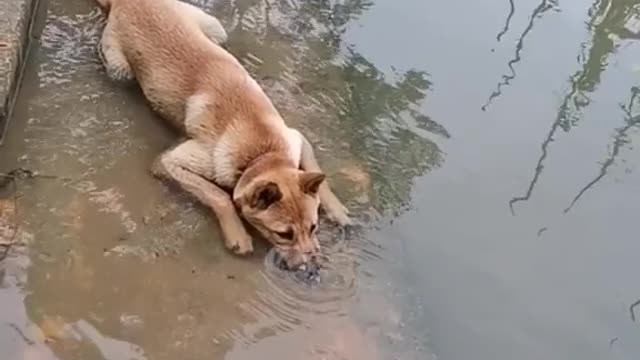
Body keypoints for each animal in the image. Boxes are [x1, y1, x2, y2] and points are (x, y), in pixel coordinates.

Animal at [94, 0, 350, 268]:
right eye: (283, 234)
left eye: (313, 227)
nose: (310, 268)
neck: (261, 153)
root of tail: (126, 2)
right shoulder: (168, 163)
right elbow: (218, 195)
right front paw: (237, 233)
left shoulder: (295, 138)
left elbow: (316, 170)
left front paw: (337, 209)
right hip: (120, 69)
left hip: (215, 29)